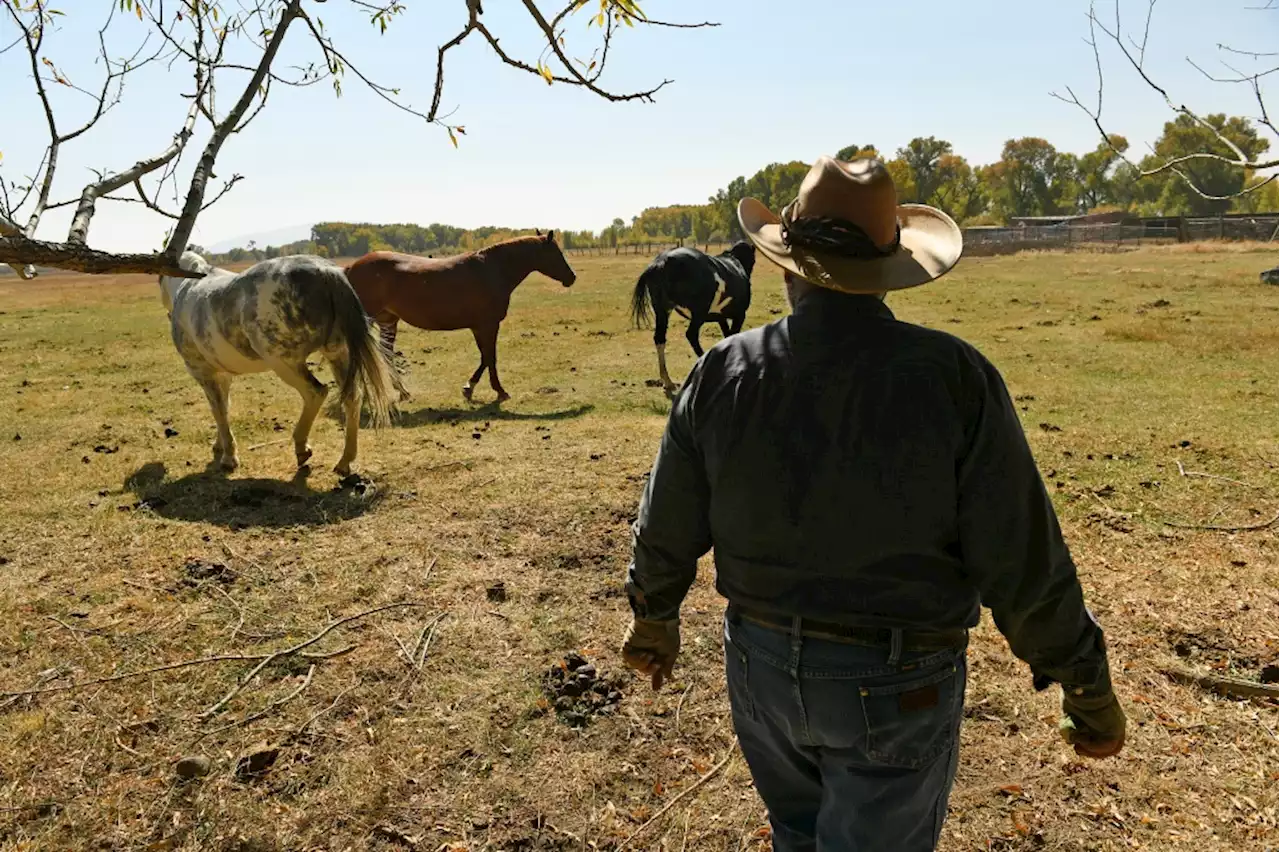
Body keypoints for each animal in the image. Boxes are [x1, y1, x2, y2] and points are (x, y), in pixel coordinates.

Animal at [162, 252, 396, 478]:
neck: (188, 285)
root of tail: (326, 271)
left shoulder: (201, 371)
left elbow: (218, 409)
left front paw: (229, 457)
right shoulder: (222, 374)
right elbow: (223, 407)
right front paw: (219, 445)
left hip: (284, 362)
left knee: (316, 392)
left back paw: (302, 447)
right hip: (338, 353)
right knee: (352, 397)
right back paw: (345, 461)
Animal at [345, 230, 576, 404]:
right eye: (556, 253)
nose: (571, 277)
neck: (492, 270)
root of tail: (350, 268)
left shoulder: (479, 326)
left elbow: (485, 357)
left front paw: (470, 389)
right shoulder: (488, 325)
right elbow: (489, 357)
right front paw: (494, 391)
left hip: (388, 321)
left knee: (385, 354)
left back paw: (401, 391)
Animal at [632, 240, 757, 394]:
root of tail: (661, 262)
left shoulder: (721, 318)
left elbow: (727, 336)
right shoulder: (739, 315)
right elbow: (732, 335)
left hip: (662, 311)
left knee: (659, 338)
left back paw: (668, 382)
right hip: (698, 313)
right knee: (691, 334)